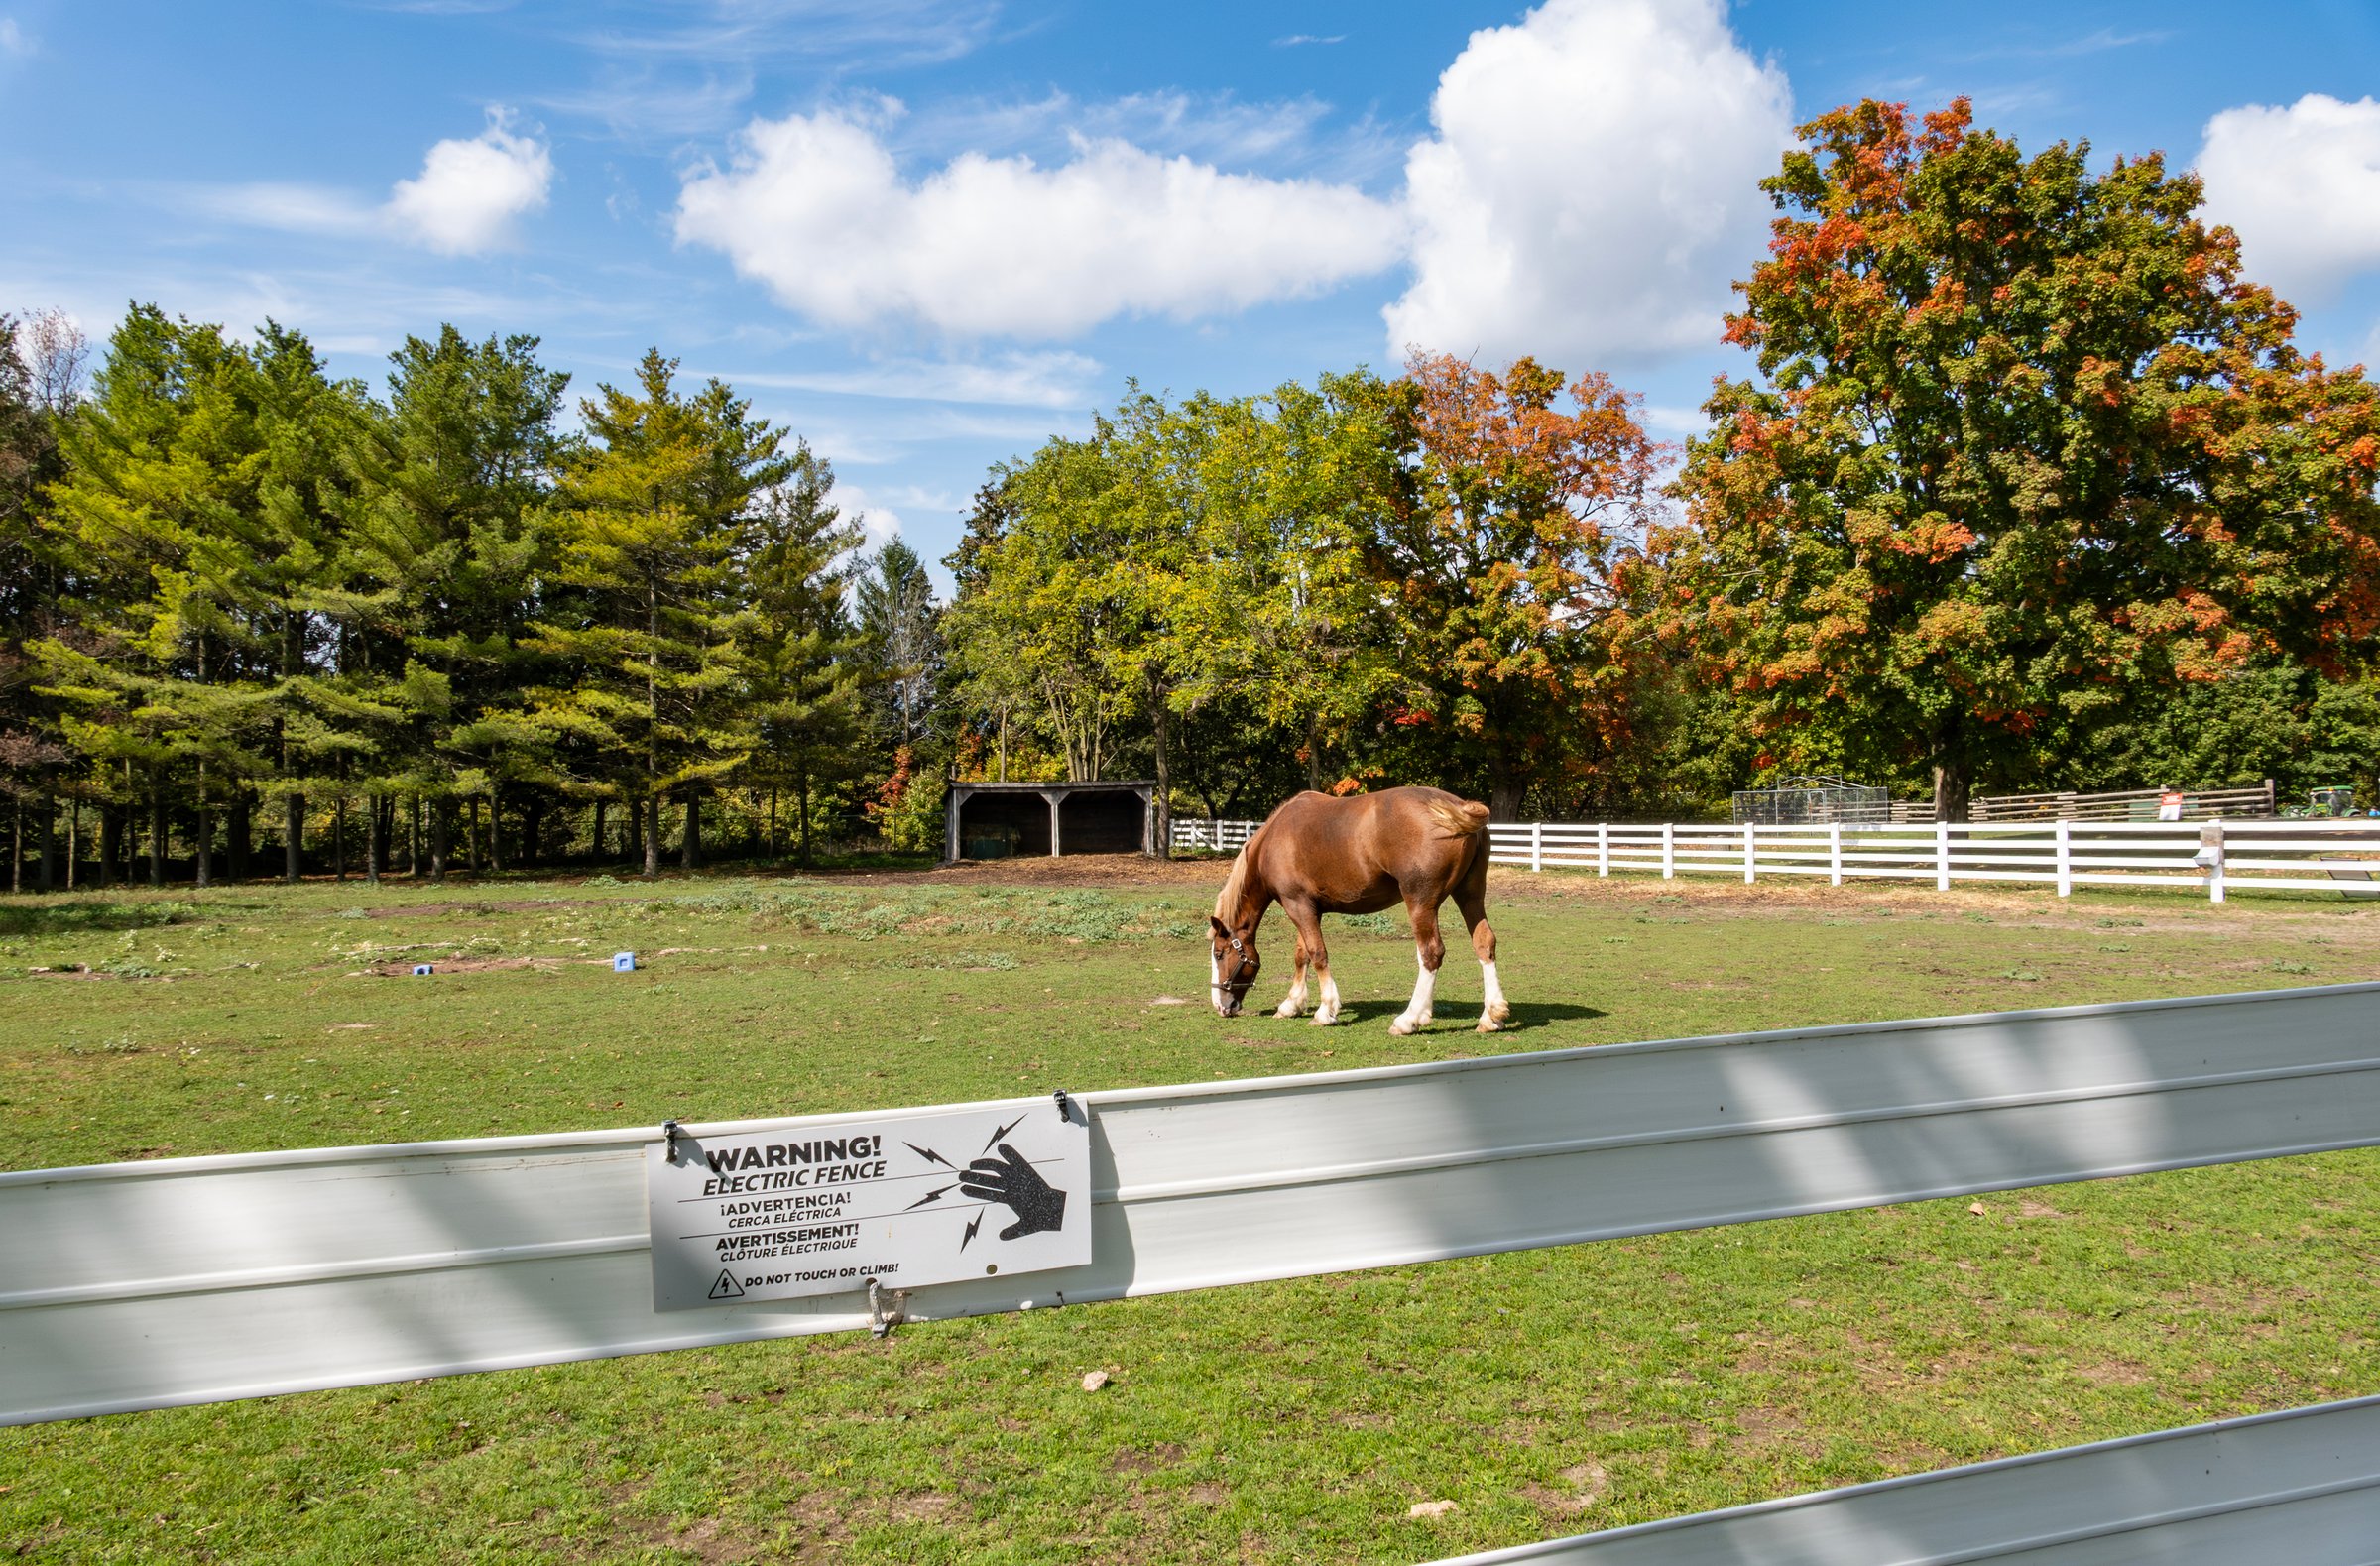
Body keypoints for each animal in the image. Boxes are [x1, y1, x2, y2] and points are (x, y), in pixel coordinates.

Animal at [1207, 786, 1512, 1035]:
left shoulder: (1297, 905)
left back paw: (1410, 1019)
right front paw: (1291, 1004)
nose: (1220, 1006)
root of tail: (1456, 808)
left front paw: (1326, 1011)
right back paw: (1491, 1016)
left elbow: (1317, 954)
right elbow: (1301, 954)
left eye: (1220, 954)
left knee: (1430, 954)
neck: (1273, 842)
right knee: (1484, 943)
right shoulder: (1308, 908)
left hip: (1421, 903)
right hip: (1470, 895)